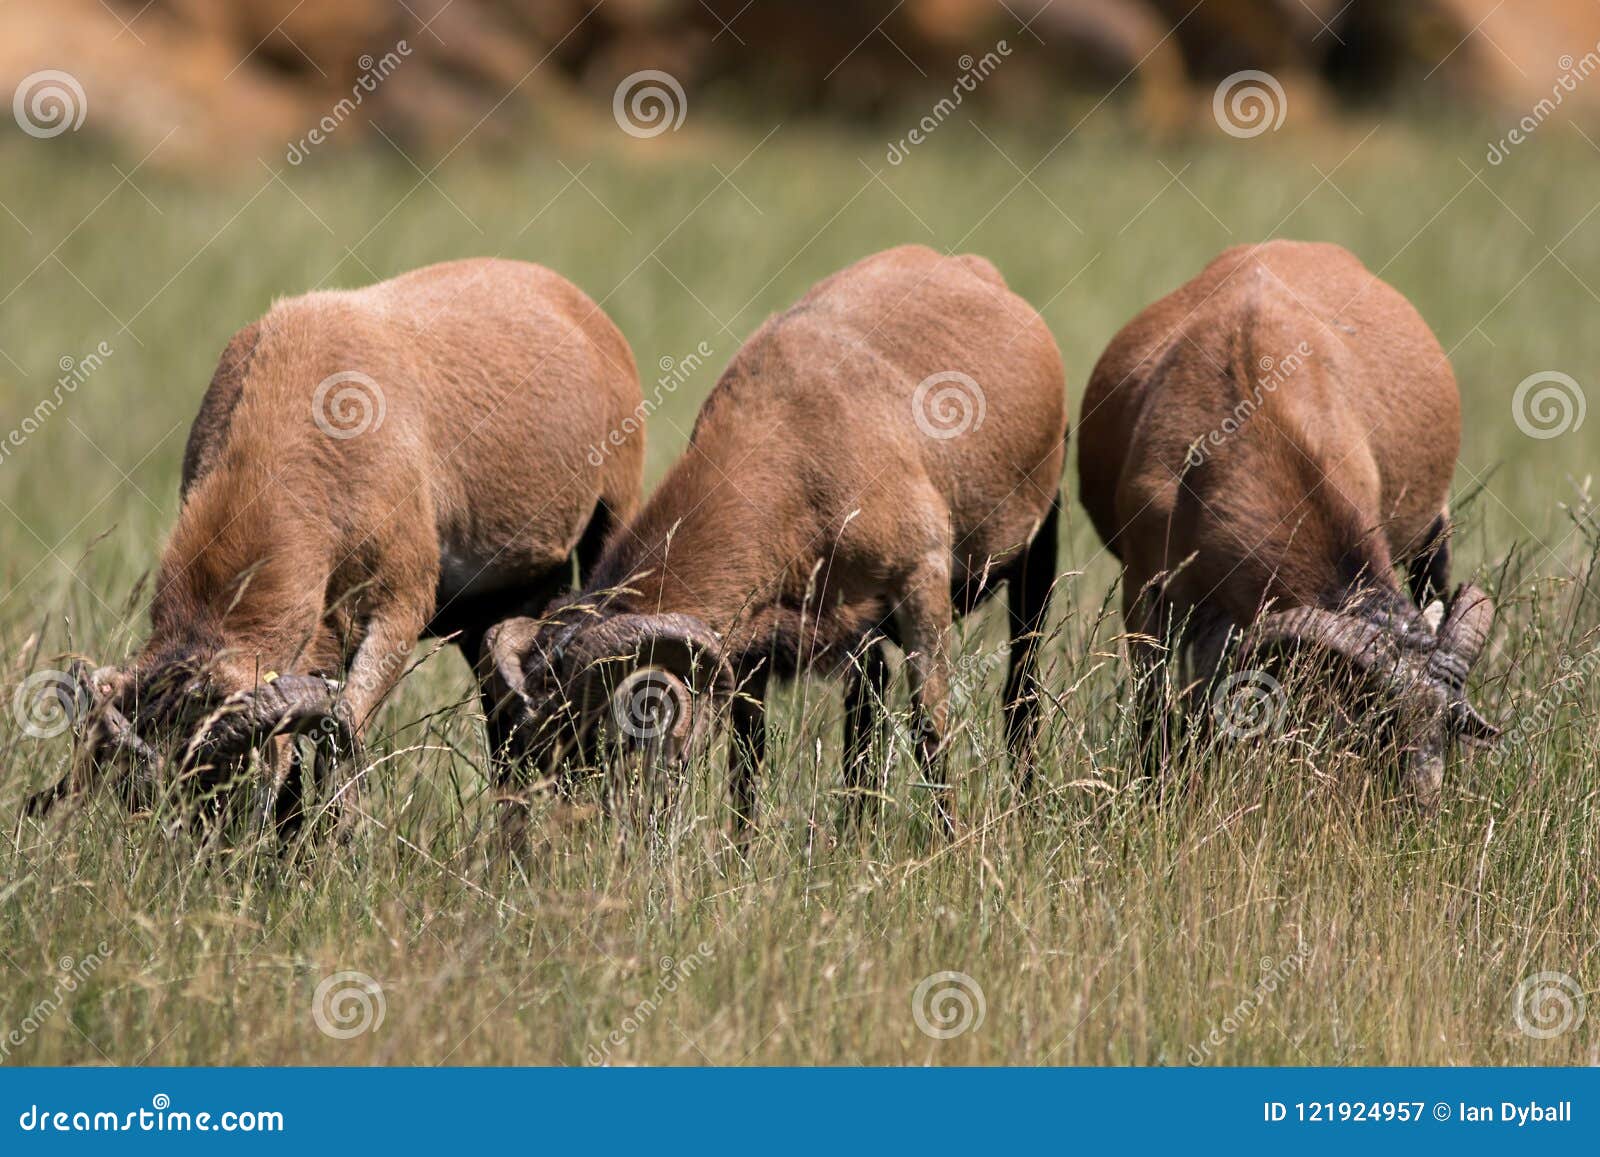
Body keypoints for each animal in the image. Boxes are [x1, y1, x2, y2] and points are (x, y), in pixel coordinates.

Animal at [480, 246, 1068, 844]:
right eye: (530, 749)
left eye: (606, 736)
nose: (570, 847)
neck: (797, 450)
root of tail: (965, 263)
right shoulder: (754, 646)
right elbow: (748, 758)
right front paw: (743, 847)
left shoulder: (920, 579)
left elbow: (931, 722)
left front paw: (949, 840)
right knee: (866, 721)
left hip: (1037, 550)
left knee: (1020, 693)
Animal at [1075, 241, 1497, 806]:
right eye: (1377, 722)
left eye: (1448, 726)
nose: (1419, 807)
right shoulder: (1149, 595)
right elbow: (1158, 711)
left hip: (1434, 535)